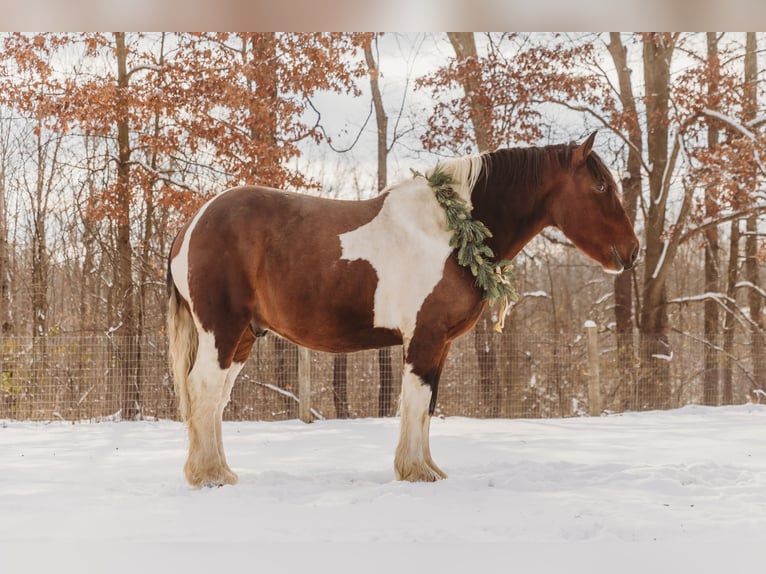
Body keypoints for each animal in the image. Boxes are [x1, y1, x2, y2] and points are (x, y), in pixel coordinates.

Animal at [167, 132, 639, 487]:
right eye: (601, 188)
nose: (633, 253)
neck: (452, 229)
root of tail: (192, 224)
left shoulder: (441, 344)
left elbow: (428, 405)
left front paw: (427, 467)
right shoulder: (425, 338)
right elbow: (415, 402)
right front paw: (416, 472)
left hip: (243, 337)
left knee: (215, 399)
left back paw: (220, 471)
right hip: (222, 333)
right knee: (204, 390)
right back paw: (209, 476)